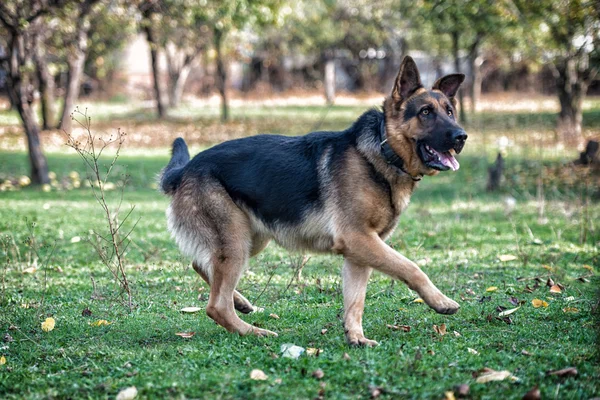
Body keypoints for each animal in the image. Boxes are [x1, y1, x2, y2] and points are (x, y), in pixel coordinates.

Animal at [162, 57, 466, 346]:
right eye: (425, 112)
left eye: (450, 111)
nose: (461, 136)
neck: (382, 150)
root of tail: (186, 168)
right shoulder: (358, 239)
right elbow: (411, 267)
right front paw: (441, 301)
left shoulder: (360, 250)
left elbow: (355, 300)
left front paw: (355, 336)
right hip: (236, 241)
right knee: (216, 305)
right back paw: (254, 332)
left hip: (251, 238)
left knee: (202, 266)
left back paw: (242, 303)